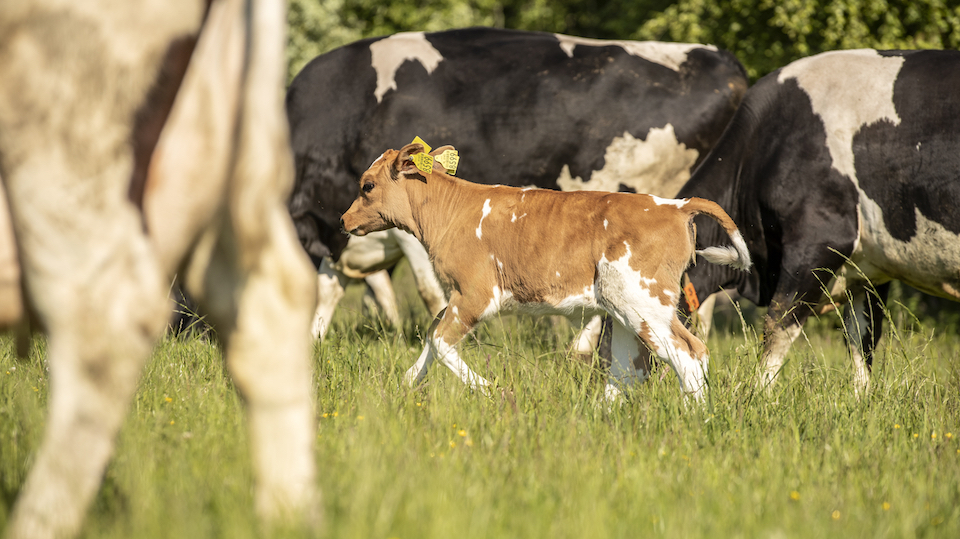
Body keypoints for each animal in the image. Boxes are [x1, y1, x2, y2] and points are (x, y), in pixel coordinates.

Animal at [342, 146, 752, 402]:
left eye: (367, 186)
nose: (344, 220)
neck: (451, 209)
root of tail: (674, 205)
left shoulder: (476, 294)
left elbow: (442, 343)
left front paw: (494, 391)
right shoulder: (457, 296)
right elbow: (431, 336)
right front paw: (405, 385)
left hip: (645, 302)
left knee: (689, 353)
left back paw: (696, 418)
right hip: (623, 308)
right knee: (628, 369)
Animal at [676, 49, 960, 392]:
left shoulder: (819, 240)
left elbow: (777, 325)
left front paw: (758, 395)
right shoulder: (866, 270)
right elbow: (861, 339)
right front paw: (860, 398)